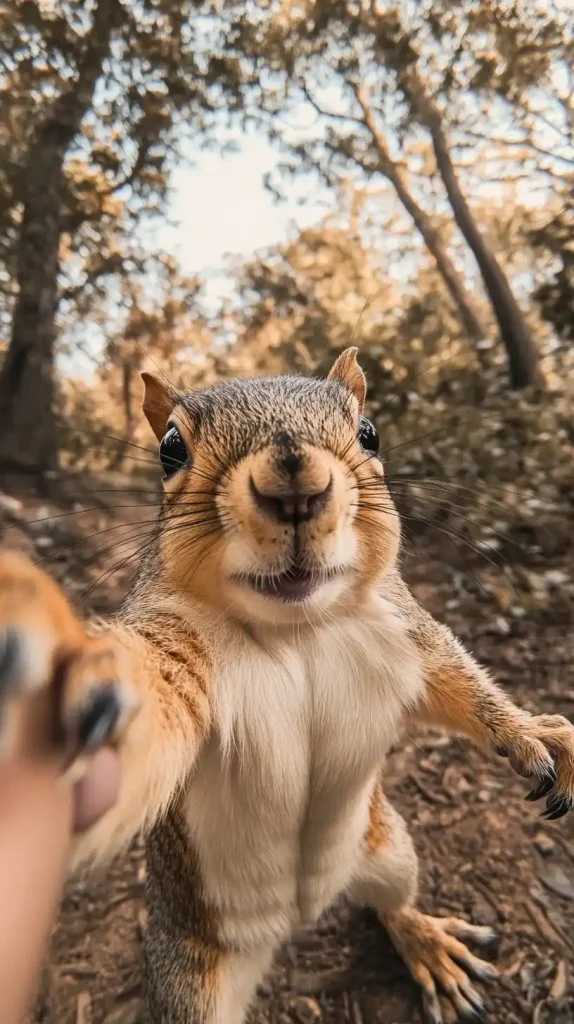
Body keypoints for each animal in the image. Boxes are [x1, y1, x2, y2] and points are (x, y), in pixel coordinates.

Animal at [0, 346, 568, 1024]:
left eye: (369, 432)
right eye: (170, 449)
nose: (296, 483)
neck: (300, 630)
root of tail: (299, 920)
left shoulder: (406, 635)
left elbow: (456, 680)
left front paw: (533, 734)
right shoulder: (176, 647)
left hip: (391, 849)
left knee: (391, 903)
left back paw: (429, 943)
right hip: (192, 977)